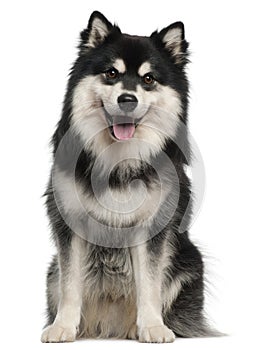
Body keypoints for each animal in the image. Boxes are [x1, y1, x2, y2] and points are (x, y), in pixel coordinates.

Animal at [40, 10, 216, 342]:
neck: (117, 160)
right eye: (111, 73)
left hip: (190, 260)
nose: (127, 99)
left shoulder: (151, 229)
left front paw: (152, 327)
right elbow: (71, 284)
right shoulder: (70, 225)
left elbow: (148, 283)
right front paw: (62, 326)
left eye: (148, 79)